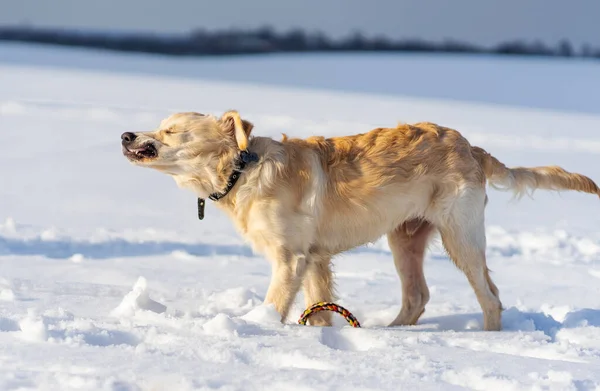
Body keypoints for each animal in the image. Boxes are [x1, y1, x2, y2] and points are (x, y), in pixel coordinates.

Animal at [120, 110, 600, 330]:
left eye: (170, 131)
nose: (125, 135)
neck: (241, 169)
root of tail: (470, 146)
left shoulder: (291, 258)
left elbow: (275, 304)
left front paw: (258, 329)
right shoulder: (315, 258)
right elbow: (318, 307)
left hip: (460, 236)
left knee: (491, 297)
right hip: (404, 239)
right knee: (417, 296)